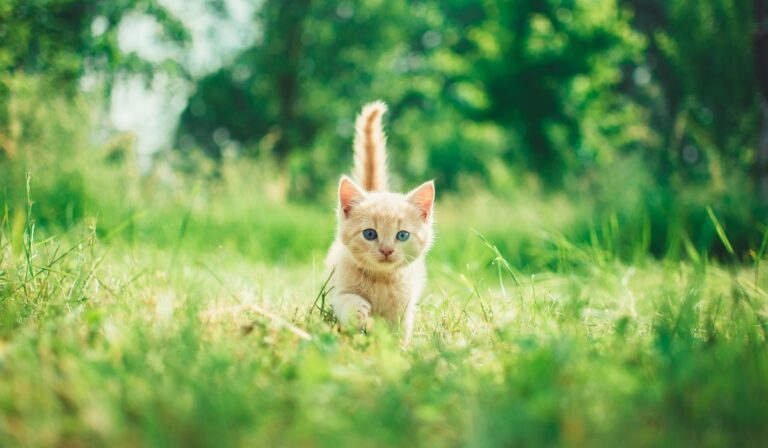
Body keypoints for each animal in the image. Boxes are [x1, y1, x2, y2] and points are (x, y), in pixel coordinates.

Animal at [322, 100, 432, 342]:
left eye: (402, 235)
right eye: (370, 234)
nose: (387, 250)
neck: (380, 281)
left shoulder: (404, 308)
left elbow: (398, 333)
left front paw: (398, 349)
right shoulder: (338, 289)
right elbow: (345, 300)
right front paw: (357, 311)